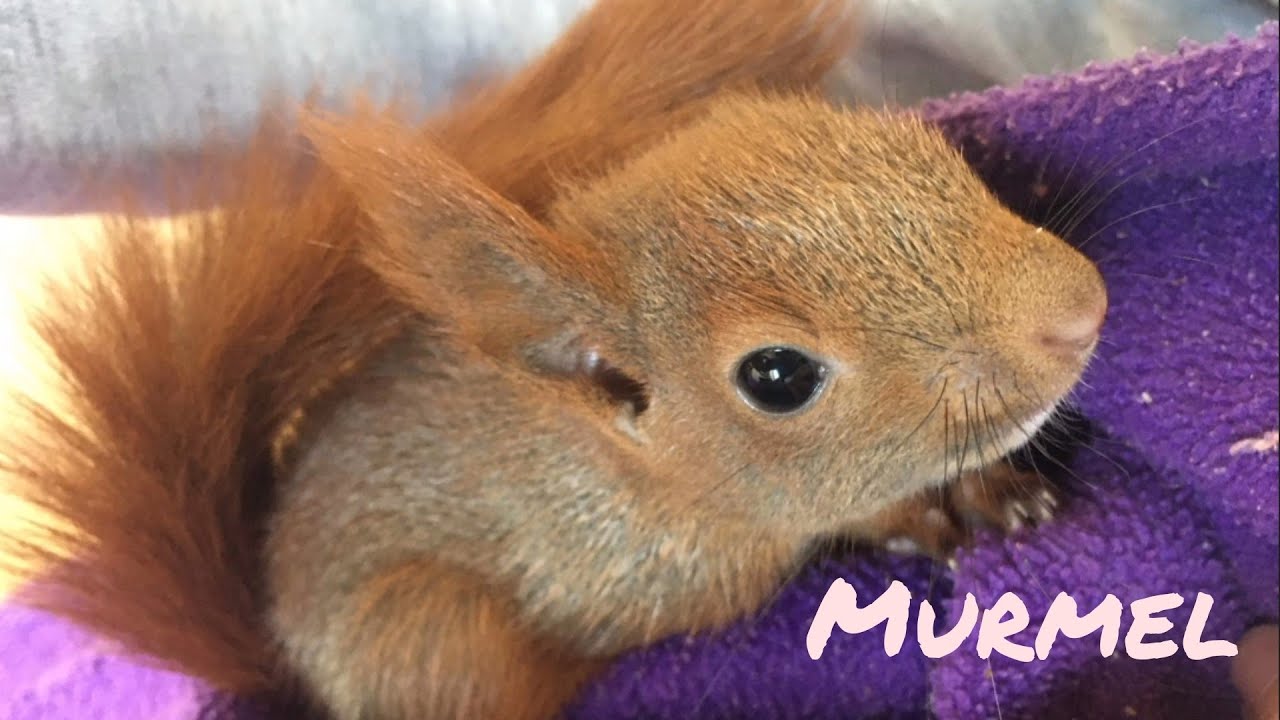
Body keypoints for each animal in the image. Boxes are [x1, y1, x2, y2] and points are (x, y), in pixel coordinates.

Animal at [0, 0, 1108, 718]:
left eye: (916, 151)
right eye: (777, 377)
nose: (1078, 311)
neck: (645, 474)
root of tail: (284, 649)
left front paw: (987, 493)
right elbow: (862, 513)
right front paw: (943, 513)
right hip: (432, 630)